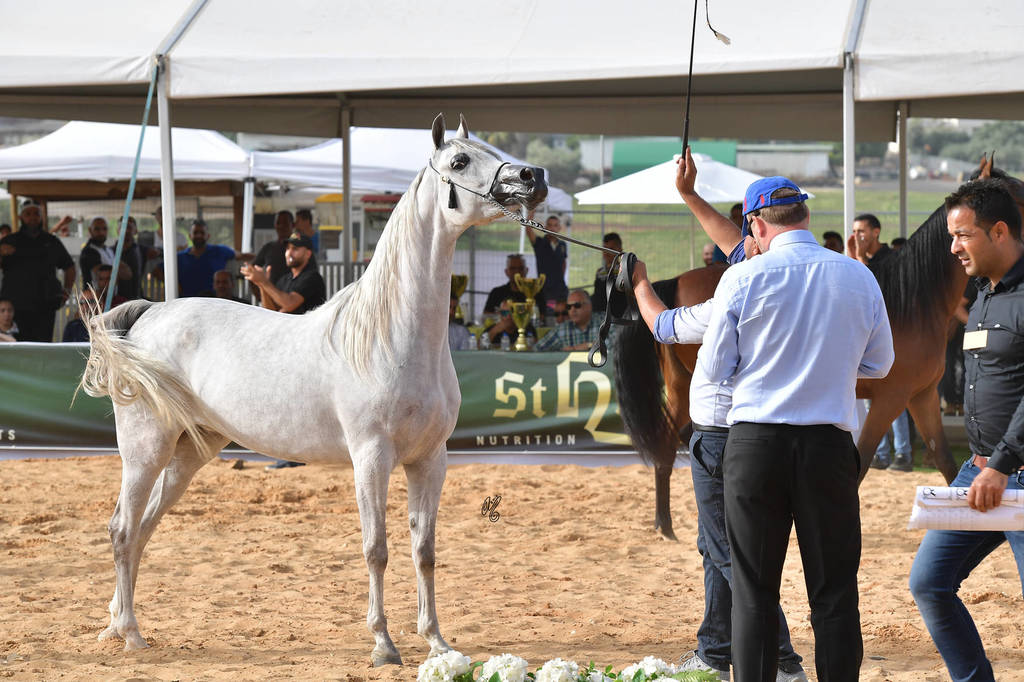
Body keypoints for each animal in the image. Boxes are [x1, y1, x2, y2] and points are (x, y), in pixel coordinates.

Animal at [79, 113, 547, 666]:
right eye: (458, 161)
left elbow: (425, 551)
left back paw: (114, 625)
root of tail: (148, 313)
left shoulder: (430, 460)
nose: (532, 177)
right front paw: (384, 645)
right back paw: (131, 633)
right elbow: (376, 549)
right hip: (145, 449)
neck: (390, 336)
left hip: (191, 452)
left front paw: (436, 641)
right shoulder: (371, 457)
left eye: (492, 150)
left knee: (142, 529)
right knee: (122, 528)